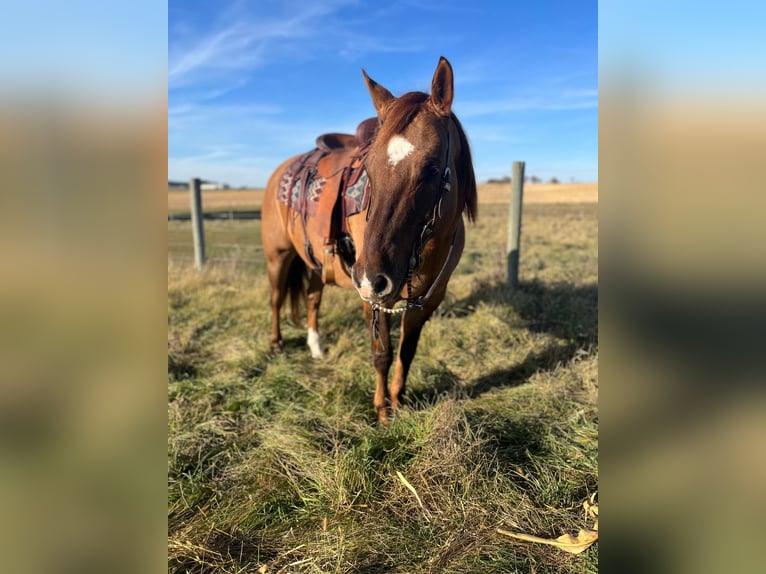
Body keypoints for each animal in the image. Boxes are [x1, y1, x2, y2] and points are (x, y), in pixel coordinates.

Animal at [268, 56, 476, 424]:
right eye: (368, 167)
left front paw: (399, 399)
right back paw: (277, 343)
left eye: (432, 168)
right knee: (277, 298)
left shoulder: (428, 301)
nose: (372, 277)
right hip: (278, 255)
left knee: (312, 298)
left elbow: (407, 352)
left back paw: (316, 347)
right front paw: (382, 409)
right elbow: (382, 353)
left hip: (317, 264)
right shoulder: (372, 297)